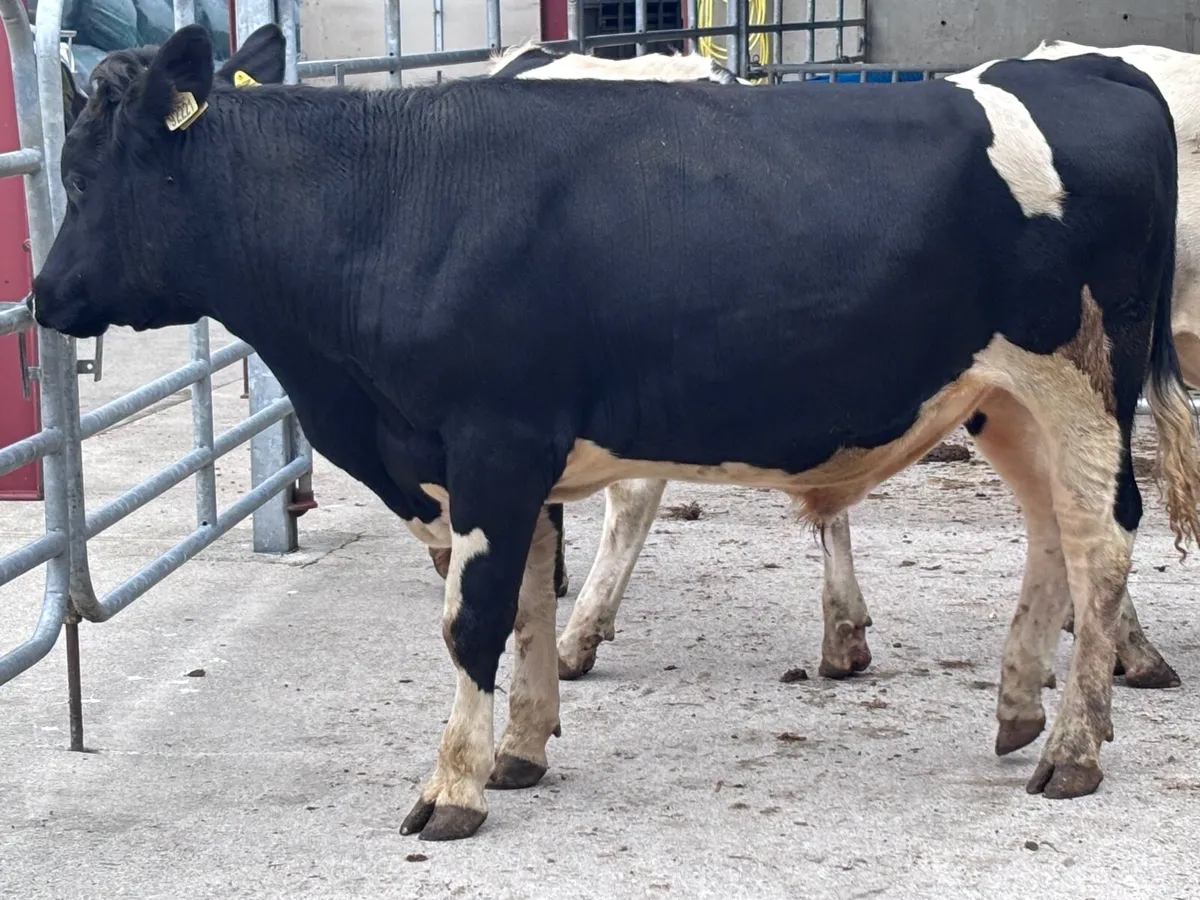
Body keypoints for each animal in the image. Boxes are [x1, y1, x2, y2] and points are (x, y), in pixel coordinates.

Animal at [30, 24, 1200, 841]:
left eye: (84, 175)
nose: (43, 298)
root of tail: (1095, 71)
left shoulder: (494, 441)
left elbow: (474, 620)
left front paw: (452, 787)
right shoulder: (507, 463)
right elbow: (527, 606)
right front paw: (521, 749)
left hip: (1080, 386)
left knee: (1102, 541)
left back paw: (1074, 749)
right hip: (1001, 398)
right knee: (1053, 535)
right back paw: (1017, 708)